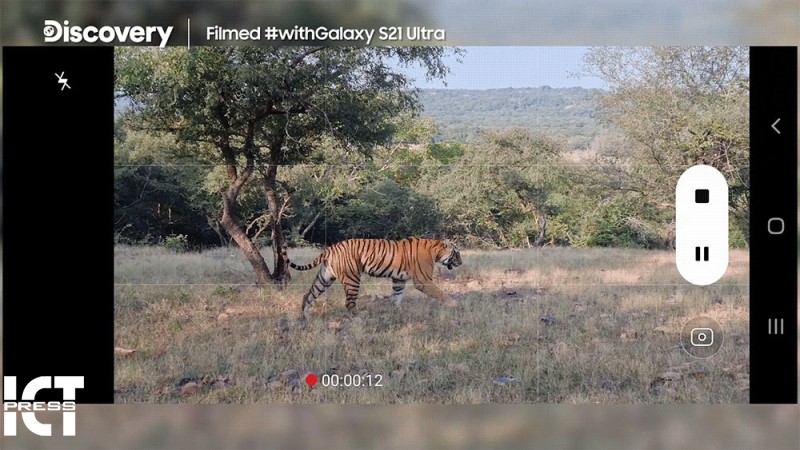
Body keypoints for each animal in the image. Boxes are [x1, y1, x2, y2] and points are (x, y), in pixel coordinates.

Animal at [284, 237, 462, 320]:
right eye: (456, 253)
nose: (460, 263)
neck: (436, 250)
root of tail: (331, 248)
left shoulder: (399, 280)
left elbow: (397, 296)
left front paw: (396, 311)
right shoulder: (423, 280)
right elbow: (441, 293)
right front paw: (454, 304)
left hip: (324, 278)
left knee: (308, 295)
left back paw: (305, 316)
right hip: (352, 278)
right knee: (349, 303)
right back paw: (360, 316)